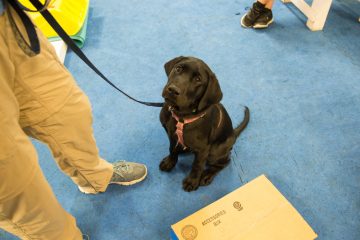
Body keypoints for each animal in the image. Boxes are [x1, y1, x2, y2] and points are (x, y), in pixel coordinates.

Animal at [159, 55, 249, 191]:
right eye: (178, 69)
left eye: (198, 79)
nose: (173, 90)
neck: (181, 115)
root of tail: (233, 134)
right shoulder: (172, 135)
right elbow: (172, 149)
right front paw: (170, 162)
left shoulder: (203, 149)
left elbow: (197, 165)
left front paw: (192, 181)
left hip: (215, 151)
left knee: (225, 162)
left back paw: (207, 175)